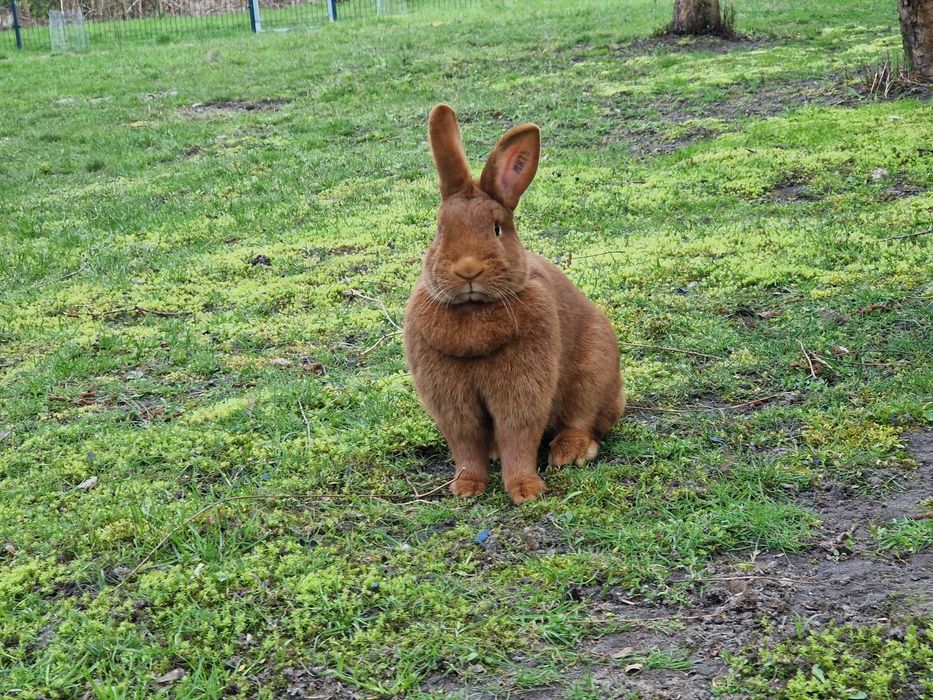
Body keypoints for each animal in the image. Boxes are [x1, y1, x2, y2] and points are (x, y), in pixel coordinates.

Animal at [402, 105, 628, 504]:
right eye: (441, 229)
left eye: (497, 228)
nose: (468, 269)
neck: (474, 310)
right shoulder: (451, 402)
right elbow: (465, 441)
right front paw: (466, 487)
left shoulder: (523, 390)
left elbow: (519, 434)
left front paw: (526, 490)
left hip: (595, 372)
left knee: (583, 418)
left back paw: (570, 453)